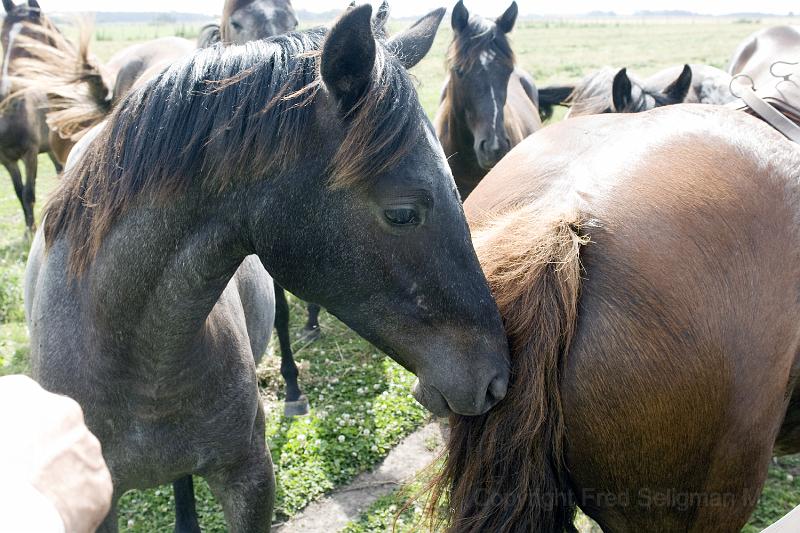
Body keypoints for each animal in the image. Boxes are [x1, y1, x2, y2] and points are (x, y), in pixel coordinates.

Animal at [0, 0, 63, 229]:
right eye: (2, 37)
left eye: (34, 37)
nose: (6, 91)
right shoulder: (6, 160)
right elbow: (19, 193)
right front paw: (29, 228)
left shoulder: (30, 153)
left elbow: (29, 193)